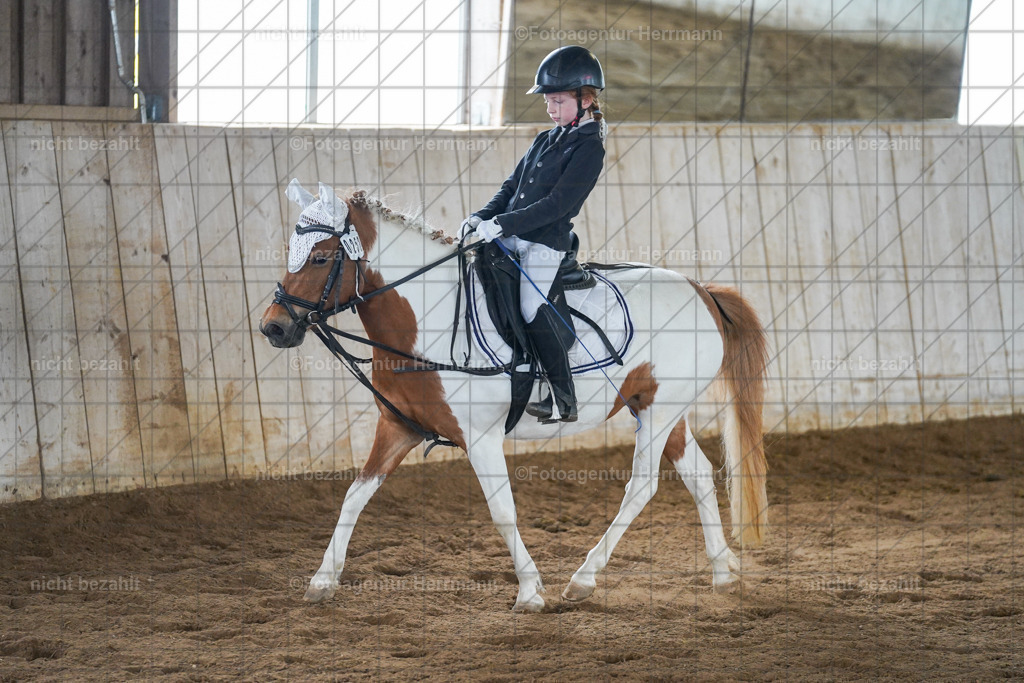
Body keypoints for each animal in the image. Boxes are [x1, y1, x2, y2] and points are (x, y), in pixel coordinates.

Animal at [258, 181, 770, 612]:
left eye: (321, 258)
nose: (273, 328)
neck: (425, 320)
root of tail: (700, 289)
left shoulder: (480, 438)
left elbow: (502, 512)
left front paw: (529, 591)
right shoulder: (399, 427)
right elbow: (352, 498)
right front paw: (322, 581)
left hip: (661, 412)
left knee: (642, 485)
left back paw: (583, 578)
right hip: (656, 406)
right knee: (699, 476)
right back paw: (722, 572)